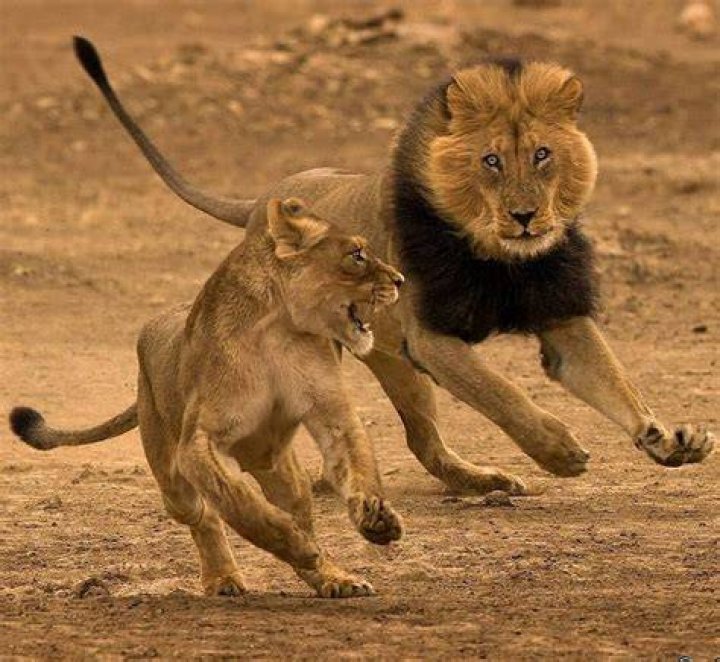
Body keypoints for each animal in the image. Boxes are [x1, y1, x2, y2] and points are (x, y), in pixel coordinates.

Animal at [10, 197, 405, 598]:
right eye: (357, 254)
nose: (400, 280)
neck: (280, 330)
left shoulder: (332, 414)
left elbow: (358, 465)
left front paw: (376, 518)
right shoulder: (200, 441)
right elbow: (237, 502)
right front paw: (292, 543)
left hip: (283, 471)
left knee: (300, 511)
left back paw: (334, 577)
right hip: (173, 482)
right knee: (203, 514)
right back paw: (225, 577)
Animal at [70, 37, 713, 497]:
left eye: (542, 155)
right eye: (490, 161)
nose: (526, 216)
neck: (502, 259)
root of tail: (260, 202)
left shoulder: (559, 317)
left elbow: (615, 381)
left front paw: (667, 439)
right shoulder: (429, 339)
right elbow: (501, 393)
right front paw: (559, 450)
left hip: (388, 356)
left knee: (425, 443)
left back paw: (484, 482)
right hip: (380, 356)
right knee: (416, 438)